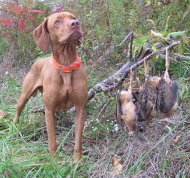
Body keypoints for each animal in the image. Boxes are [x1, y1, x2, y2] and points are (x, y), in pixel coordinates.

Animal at [13, 11, 88, 163]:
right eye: (57, 21)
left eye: (73, 17)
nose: (76, 23)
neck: (66, 65)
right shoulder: (49, 109)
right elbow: (52, 140)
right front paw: (55, 161)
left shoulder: (80, 108)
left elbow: (78, 140)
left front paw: (77, 161)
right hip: (24, 97)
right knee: (17, 112)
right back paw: (13, 129)